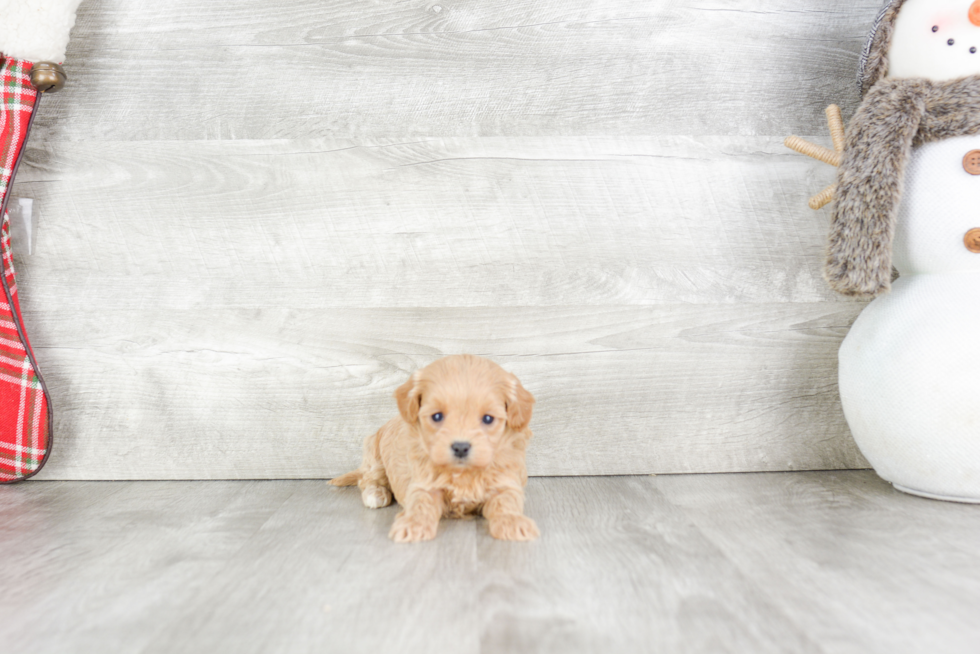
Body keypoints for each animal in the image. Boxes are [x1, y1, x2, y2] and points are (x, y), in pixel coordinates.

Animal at [334, 356, 540, 544]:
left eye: (488, 419)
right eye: (437, 416)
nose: (460, 447)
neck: (463, 473)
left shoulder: (505, 481)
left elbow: (507, 501)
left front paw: (513, 523)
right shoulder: (424, 483)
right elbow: (420, 503)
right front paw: (412, 525)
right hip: (374, 454)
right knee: (367, 479)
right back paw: (375, 494)